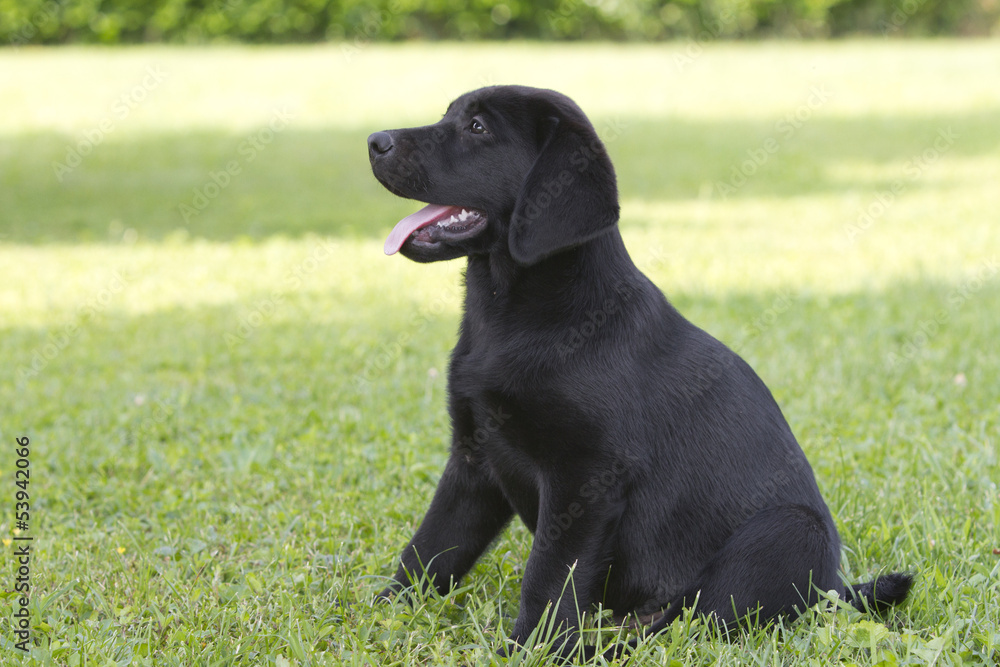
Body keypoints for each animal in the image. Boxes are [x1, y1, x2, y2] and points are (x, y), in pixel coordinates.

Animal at [366, 85, 908, 656]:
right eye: (450, 115)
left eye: (477, 127)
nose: (375, 141)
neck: (513, 316)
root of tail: (837, 591)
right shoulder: (473, 458)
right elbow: (431, 546)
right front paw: (383, 612)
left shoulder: (586, 478)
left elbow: (548, 576)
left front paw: (531, 648)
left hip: (789, 531)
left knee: (691, 622)